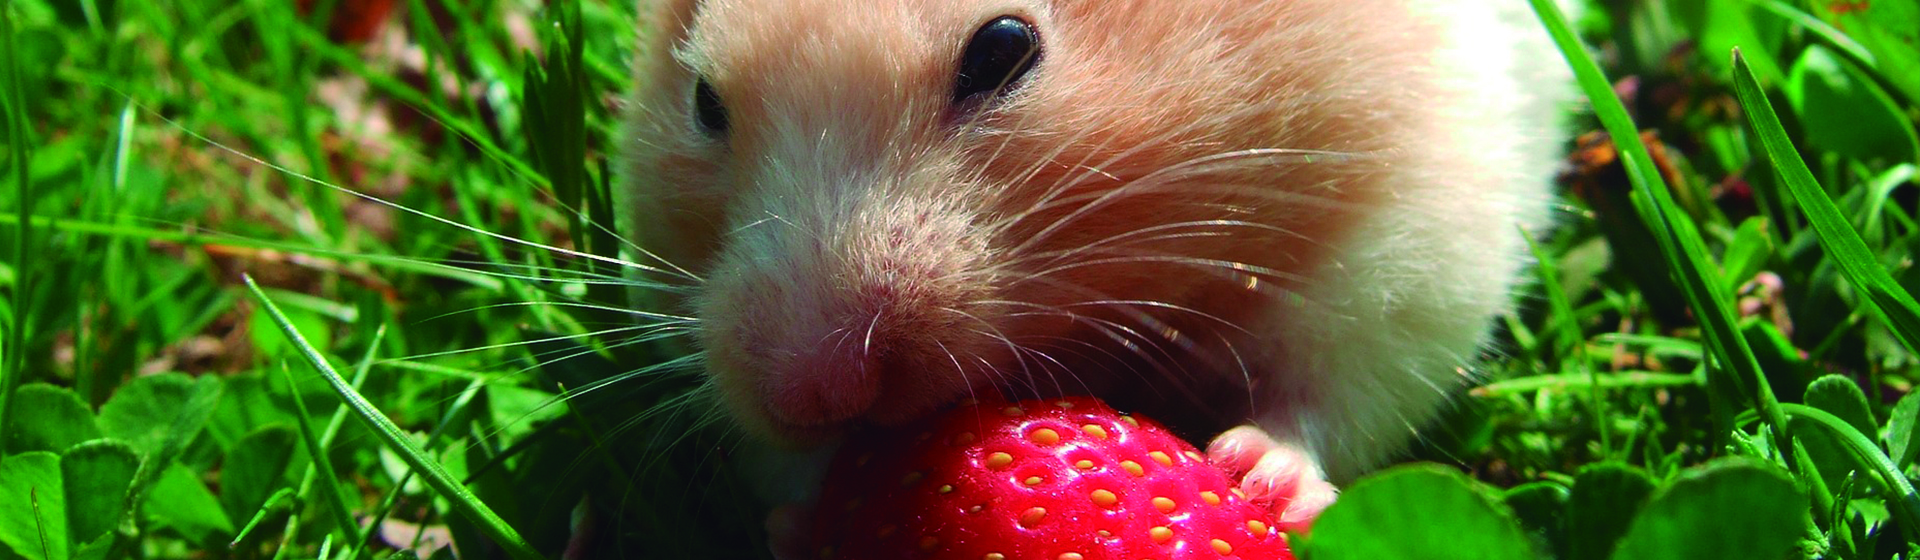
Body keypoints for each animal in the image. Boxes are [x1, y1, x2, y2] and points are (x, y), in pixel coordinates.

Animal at [616, 0, 1572, 531]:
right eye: (704, 101)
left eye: (1003, 48)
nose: (811, 394)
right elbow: (792, 473)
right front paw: (801, 520)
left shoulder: (1409, 238)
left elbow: (1332, 394)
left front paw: (1254, 476)